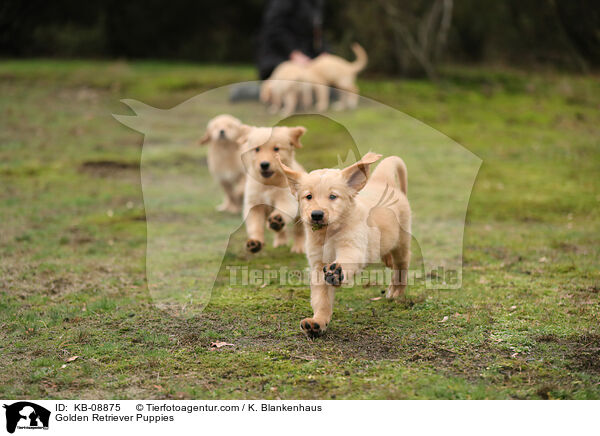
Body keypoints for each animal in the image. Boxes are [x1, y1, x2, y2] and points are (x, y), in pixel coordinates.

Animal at [278, 150, 410, 338]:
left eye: (333, 196)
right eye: (308, 196)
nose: (316, 214)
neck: (328, 234)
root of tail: (382, 181)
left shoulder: (353, 246)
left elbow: (347, 261)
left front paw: (337, 272)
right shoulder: (317, 264)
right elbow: (321, 299)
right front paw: (316, 322)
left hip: (402, 240)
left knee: (402, 265)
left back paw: (396, 291)